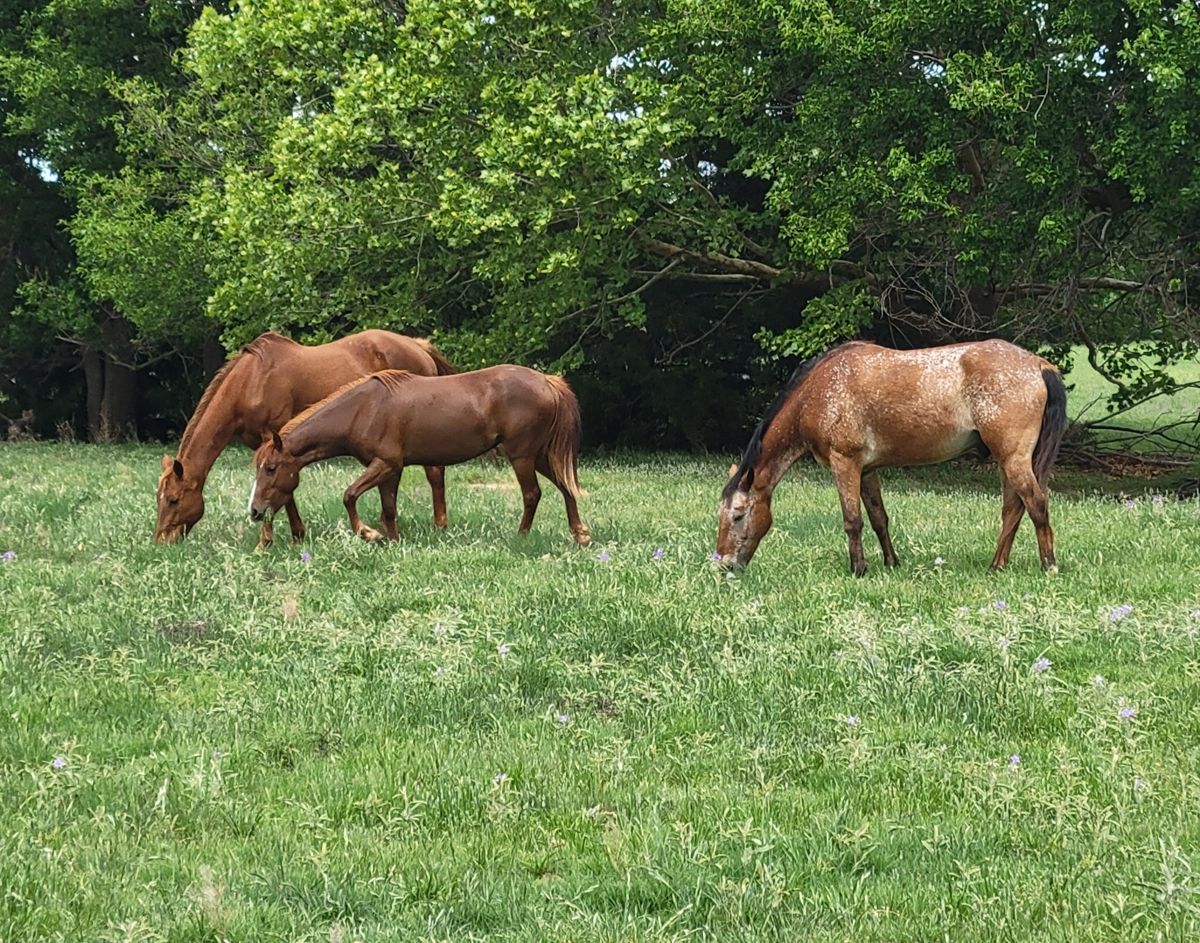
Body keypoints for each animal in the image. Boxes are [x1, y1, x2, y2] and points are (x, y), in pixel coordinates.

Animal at [155, 330, 456, 546]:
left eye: (174, 499)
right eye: (159, 498)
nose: (162, 541)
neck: (252, 380)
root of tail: (417, 345)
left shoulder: (276, 436)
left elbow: (281, 489)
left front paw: (274, 538)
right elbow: (276, 488)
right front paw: (295, 534)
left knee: (434, 472)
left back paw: (439, 525)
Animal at [249, 366, 591, 545]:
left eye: (271, 468)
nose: (254, 511)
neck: (362, 410)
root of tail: (548, 381)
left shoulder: (386, 464)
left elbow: (349, 495)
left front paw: (368, 533)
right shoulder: (389, 469)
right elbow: (388, 509)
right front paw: (392, 540)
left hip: (521, 456)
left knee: (532, 494)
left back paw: (520, 537)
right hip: (539, 456)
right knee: (566, 488)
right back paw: (580, 535)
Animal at [716, 339, 1068, 575]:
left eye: (738, 515)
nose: (724, 565)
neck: (818, 391)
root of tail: (1039, 364)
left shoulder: (845, 464)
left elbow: (853, 520)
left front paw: (858, 569)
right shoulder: (867, 470)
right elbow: (878, 518)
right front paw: (891, 562)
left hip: (1013, 458)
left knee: (1035, 503)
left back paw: (1049, 566)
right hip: (1007, 461)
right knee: (1012, 508)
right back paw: (997, 565)